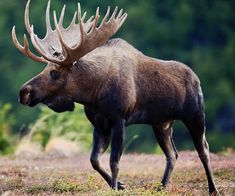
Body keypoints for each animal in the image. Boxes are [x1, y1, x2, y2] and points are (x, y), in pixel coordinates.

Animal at [12, 0, 218, 194]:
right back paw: (161, 186)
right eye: (44, 67)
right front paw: (120, 185)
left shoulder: (120, 120)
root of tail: (197, 79)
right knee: (172, 154)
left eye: (55, 72)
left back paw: (212, 188)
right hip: (162, 123)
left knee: (203, 149)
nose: (24, 92)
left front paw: (114, 187)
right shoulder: (99, 124)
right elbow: (94, 160)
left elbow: (114, 162)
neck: (92, 93)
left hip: (195, 115)